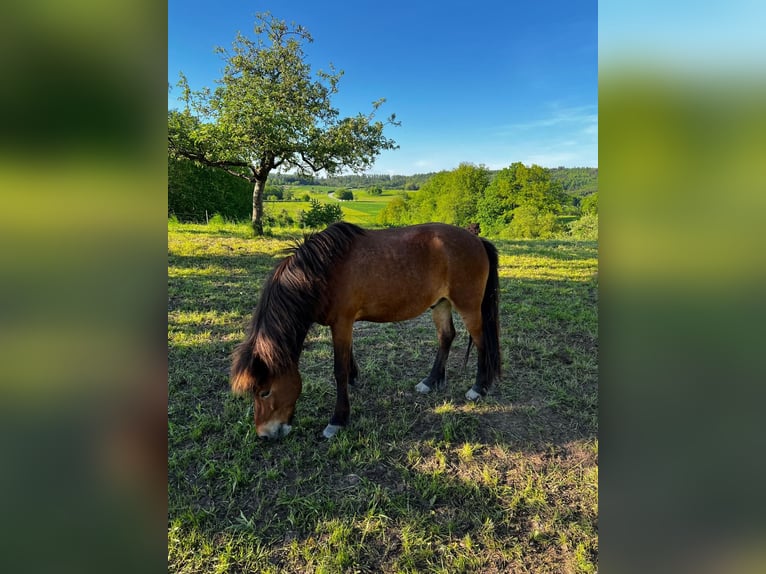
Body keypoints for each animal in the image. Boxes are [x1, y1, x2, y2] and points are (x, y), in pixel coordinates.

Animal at [231, 223, 500, 438]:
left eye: (264, 392)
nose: (264, 434)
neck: (322, 271)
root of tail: (476, 240)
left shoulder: (341, 323)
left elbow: (338, 370)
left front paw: (338, 419)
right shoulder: (344, 324)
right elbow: (348, 359)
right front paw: (353, 379)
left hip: (469, 306)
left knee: (481, 341)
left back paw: (479, 388)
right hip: (440, 303)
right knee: (446, 336)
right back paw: (430, 381)